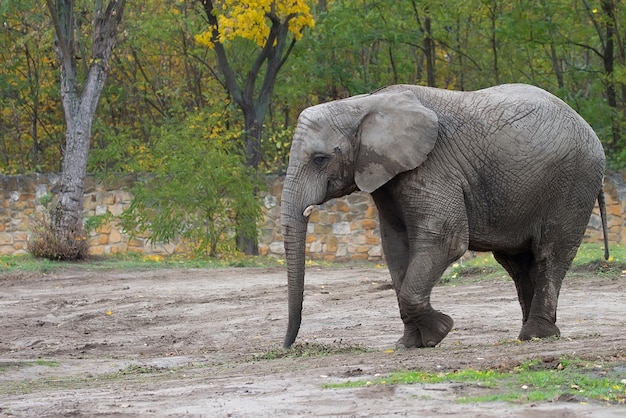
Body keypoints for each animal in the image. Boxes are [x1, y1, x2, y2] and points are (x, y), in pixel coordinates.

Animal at [280, 82, 608, 350]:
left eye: (320, 159)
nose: (287, 346)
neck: (364, 104)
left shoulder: (432, 167)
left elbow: (445, 240)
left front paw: (440, 332)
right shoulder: (389, 178)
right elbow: (395, 249)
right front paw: (409, 345)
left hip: (573, 184)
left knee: (549, 254)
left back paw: (536, 335)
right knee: (517, 263)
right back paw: (530, 333)